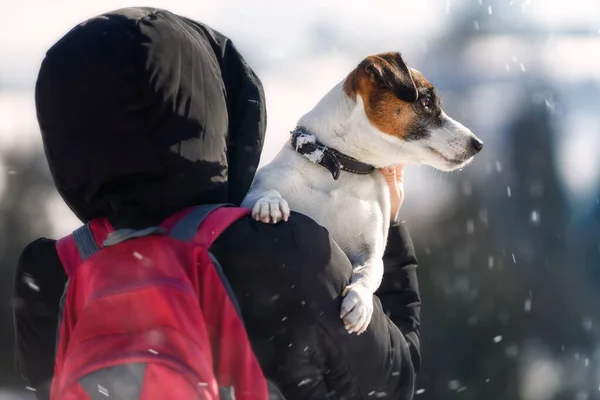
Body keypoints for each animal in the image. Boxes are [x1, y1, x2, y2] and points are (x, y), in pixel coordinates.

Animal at [240, 52, 482, 334]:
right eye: (426, 101)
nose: (478, 144)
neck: (339, 166)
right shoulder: (257, 187)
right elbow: (263, 191)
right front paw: (271, 204)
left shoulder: (370, 247)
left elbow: (372, 269)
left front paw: (360, 302)